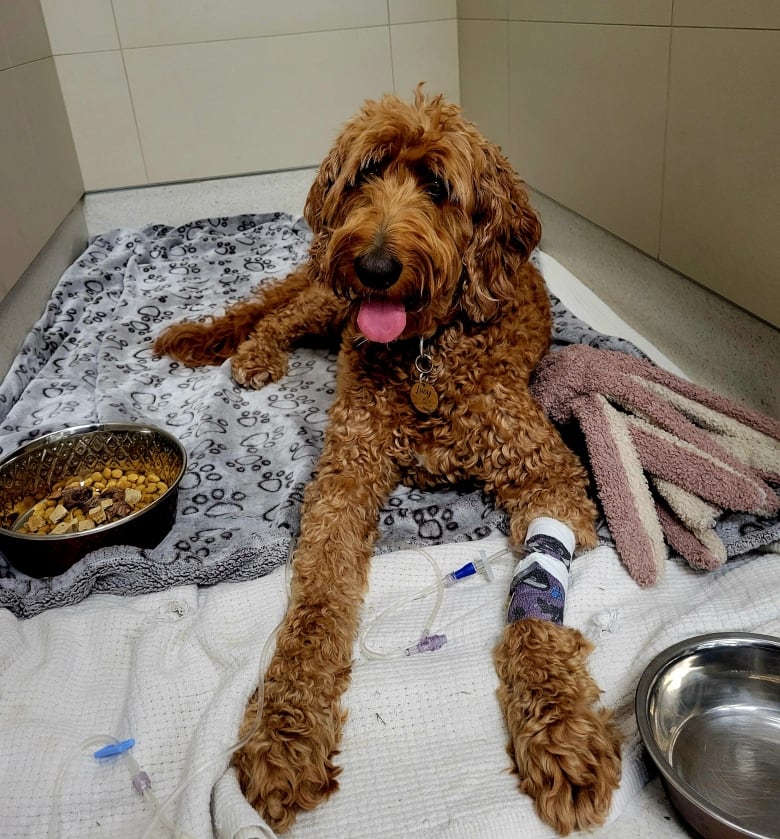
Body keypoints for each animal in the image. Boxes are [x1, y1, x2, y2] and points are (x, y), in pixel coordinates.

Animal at [155, 85, 620, 832]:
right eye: (366, 173)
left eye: (438, 185)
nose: (374, 268)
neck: (426, 353)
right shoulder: (346, 475)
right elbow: (316, 605)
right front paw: (286, 735)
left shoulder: (549, 475)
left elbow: (535, 615)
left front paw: (561, 730)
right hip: (326, 292)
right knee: (272, 312)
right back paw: (248, 353)